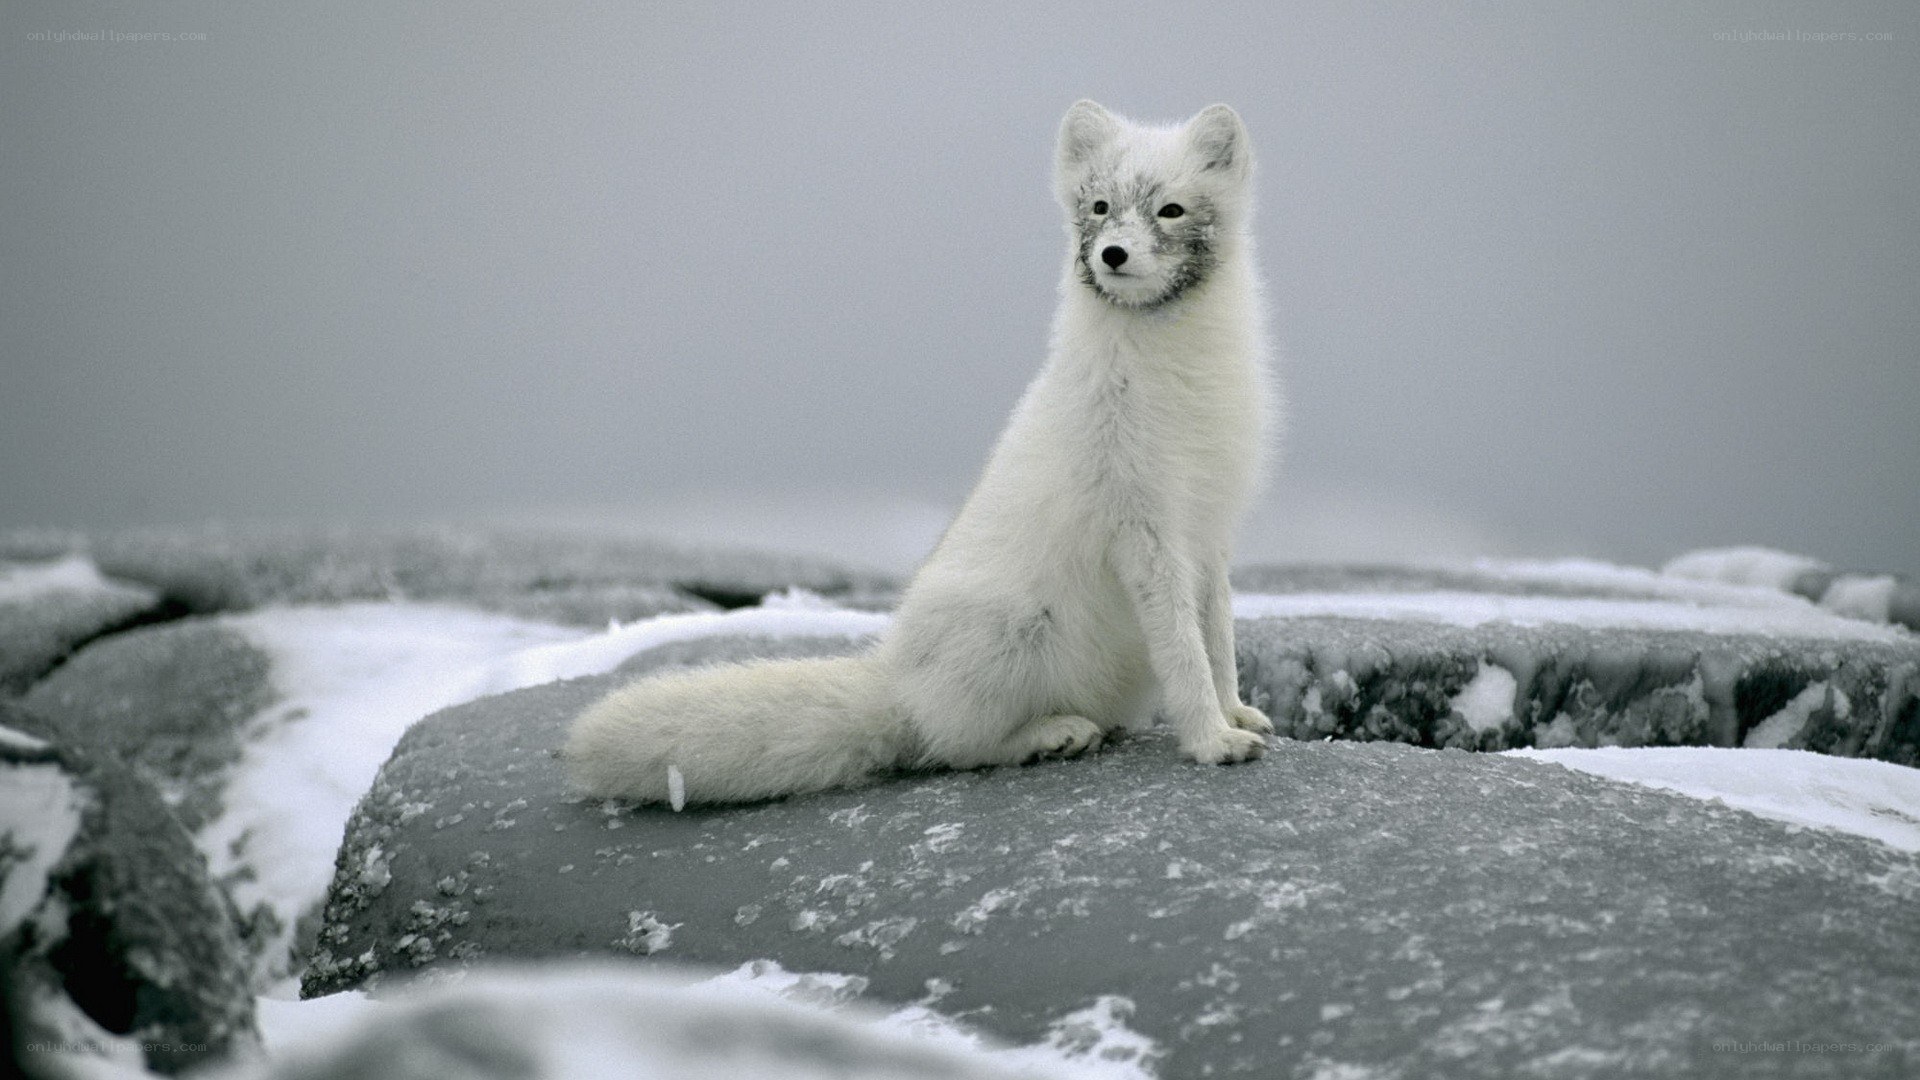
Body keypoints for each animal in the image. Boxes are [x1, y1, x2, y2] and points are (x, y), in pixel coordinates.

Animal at [566, 100, 1278, 805]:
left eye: (1171, 210)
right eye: (1100, 206)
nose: (1113, 253)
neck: (1178, 376)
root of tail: (897, 683)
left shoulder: (1209, 529)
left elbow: (1218, 638)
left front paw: (1235, 713)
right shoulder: (1144, 530)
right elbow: (1184, 651)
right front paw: (1212, 740)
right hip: (1011, 631)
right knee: (954, 746)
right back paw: (1052, 734)